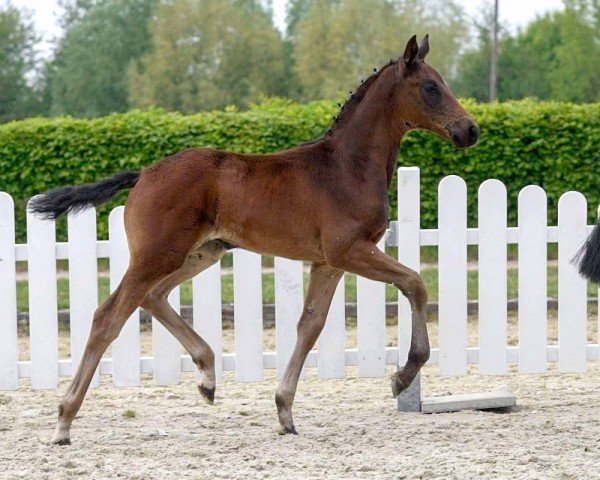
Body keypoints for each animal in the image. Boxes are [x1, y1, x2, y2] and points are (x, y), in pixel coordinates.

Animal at [30, 35, 480, 444]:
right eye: (430, 87)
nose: (470, 130)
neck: (347, 166)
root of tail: (143, 174)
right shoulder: (349, 250)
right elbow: (415, 284)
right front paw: (402, 376)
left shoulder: (328, 261)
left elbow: (310, 325)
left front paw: (284, 411)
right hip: (158, 255)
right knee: (109, 315)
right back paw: (64, 420)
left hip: (201, 254)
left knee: (153, 297)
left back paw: (207, 376)